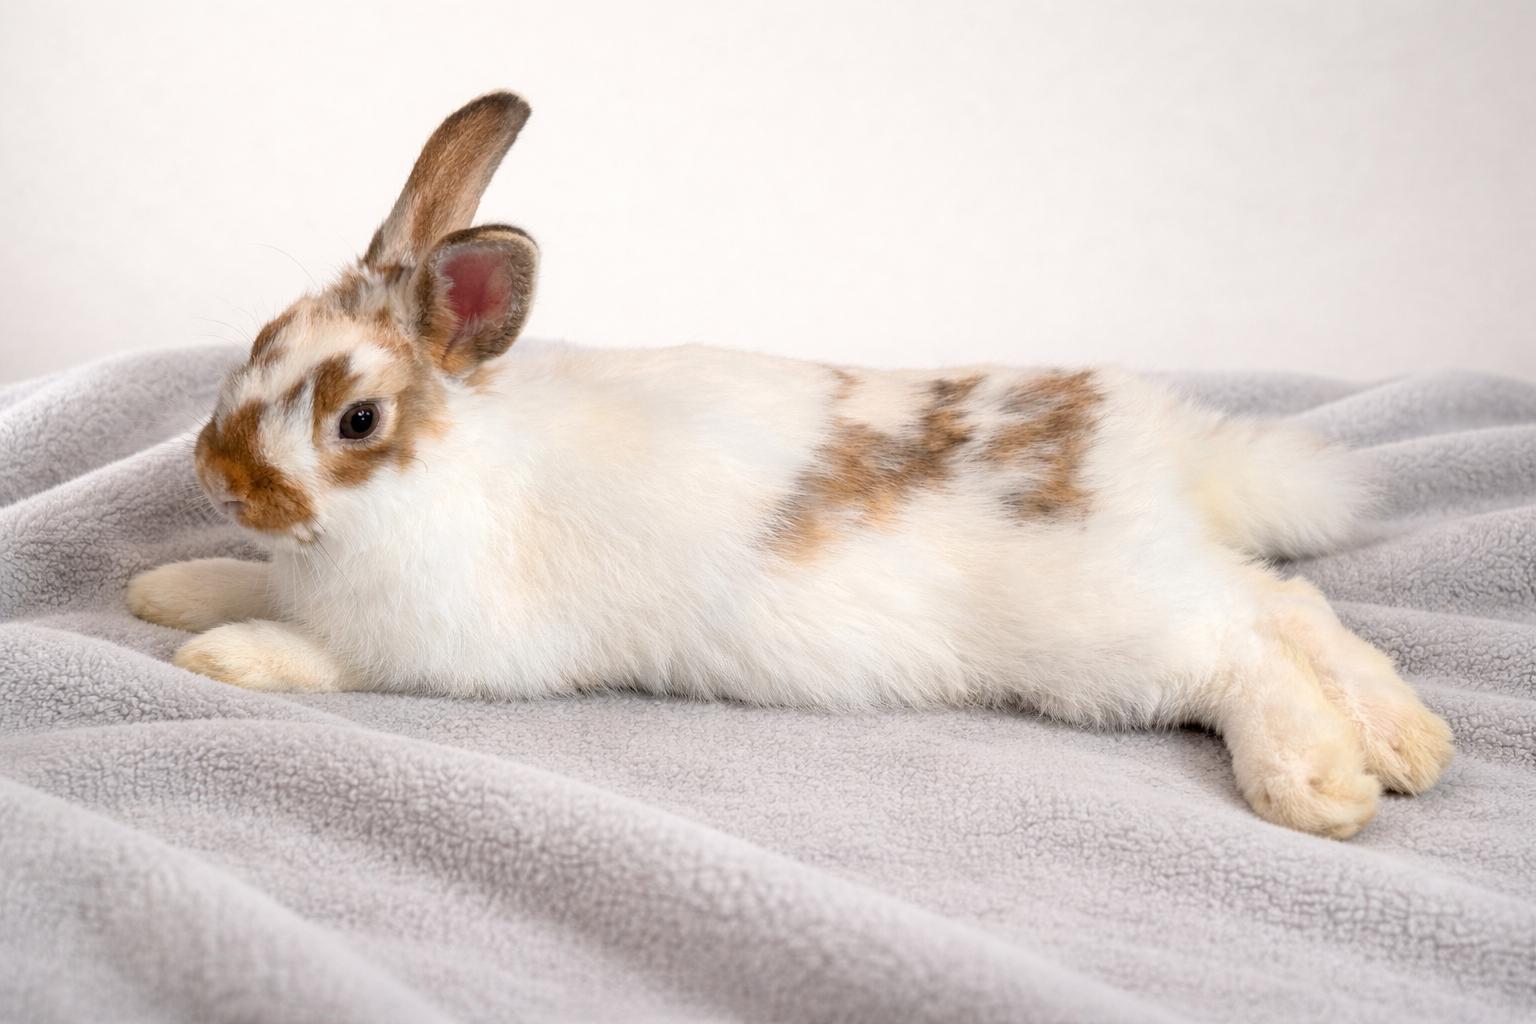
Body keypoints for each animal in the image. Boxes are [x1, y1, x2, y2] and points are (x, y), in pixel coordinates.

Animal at [128, 91, 1453, 839]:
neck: (433, 481)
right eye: (259, 341)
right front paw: (164, 588)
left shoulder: (430, 648)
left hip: (1107, 629)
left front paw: (220, 653)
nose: (217, 480)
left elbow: (319, 657)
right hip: (1157, 576)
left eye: (356, 421)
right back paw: (1407, 742)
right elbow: (243, 579)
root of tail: (1151, 441)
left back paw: (1321, 784)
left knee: (1242, 649)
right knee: (1288, 602)